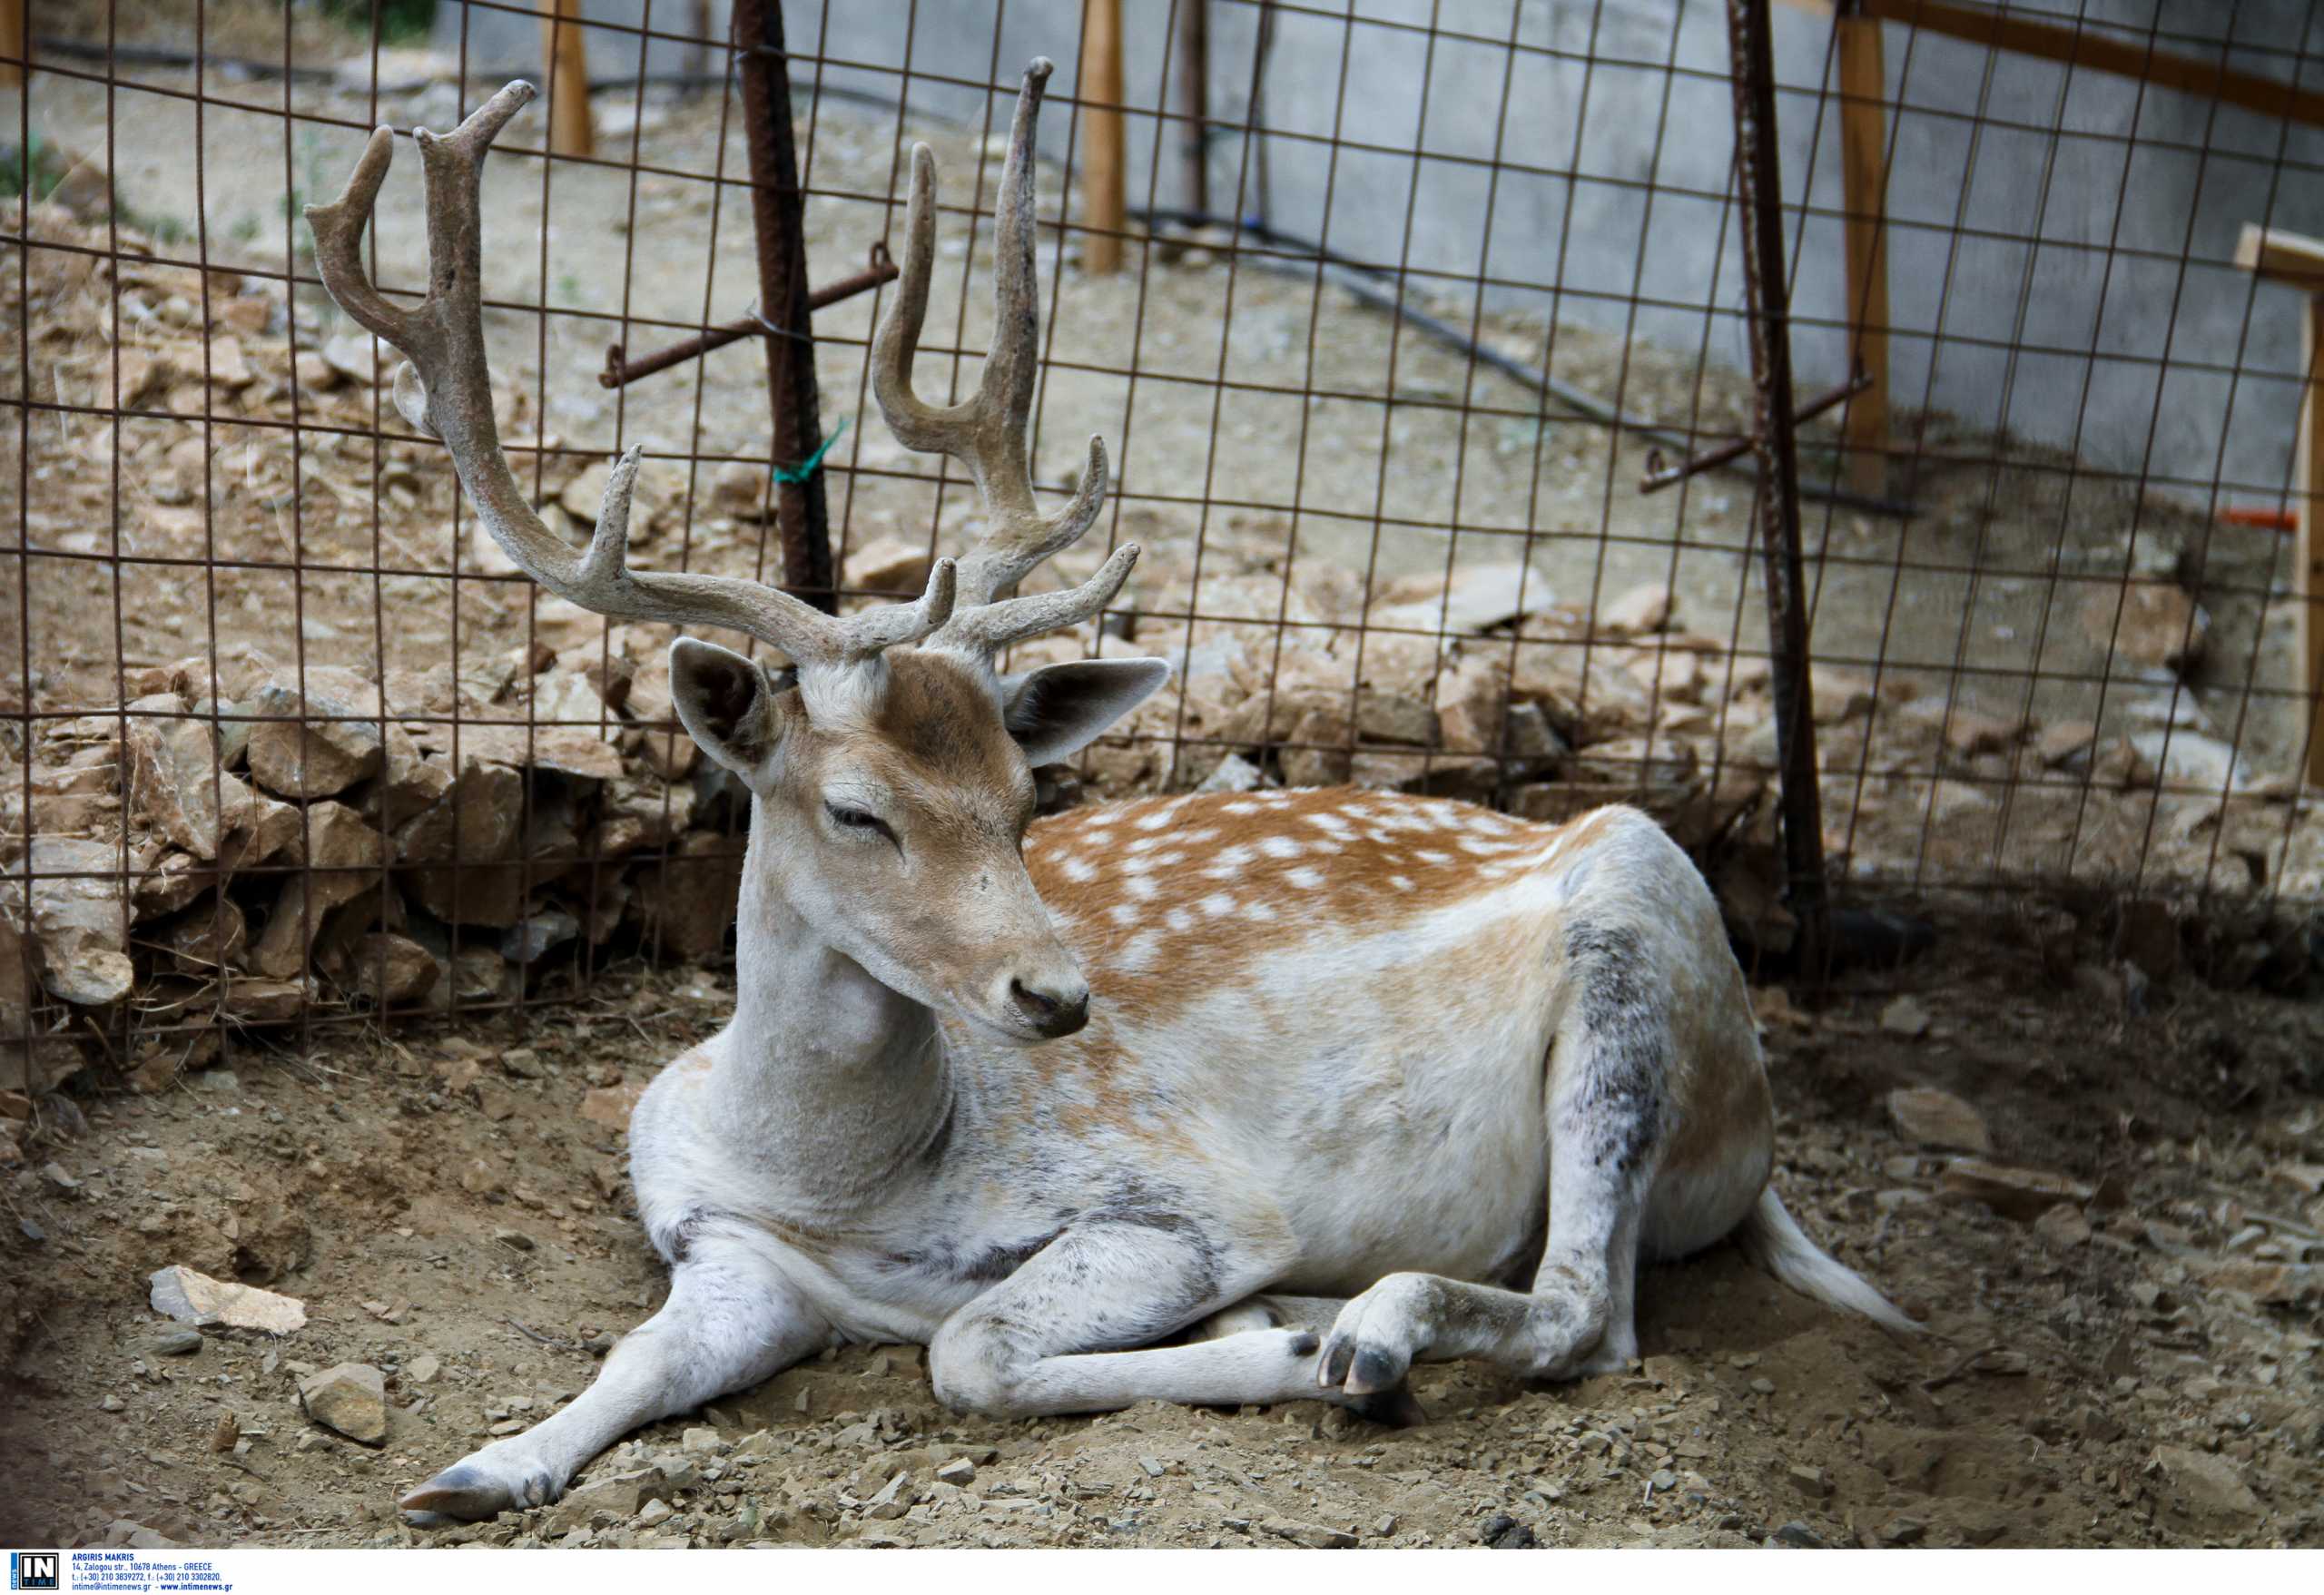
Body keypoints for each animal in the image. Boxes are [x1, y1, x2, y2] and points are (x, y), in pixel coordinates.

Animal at [300, 65, 1915, 1534]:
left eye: (1027, 796)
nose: (1059, 996)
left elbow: (970, 1344)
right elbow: (638, 1359)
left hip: (1640, 927)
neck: (847, 1192)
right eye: (856, 810)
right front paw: (474, 1469)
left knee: (1593, 1310)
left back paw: (1370, 1331)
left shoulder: (1185, 1205)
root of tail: (1758, 1131)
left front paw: (1283, 1340)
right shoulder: (727, 1251)